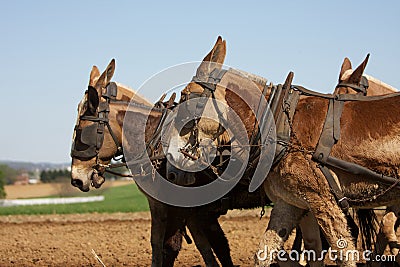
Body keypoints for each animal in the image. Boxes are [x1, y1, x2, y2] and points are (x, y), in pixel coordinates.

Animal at [167, 36, 400, 266]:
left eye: (185, 97)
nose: (169, 161)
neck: (281, 126)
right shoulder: (288, 203)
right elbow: (265, 253)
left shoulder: (324, 202)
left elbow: (345, 255)